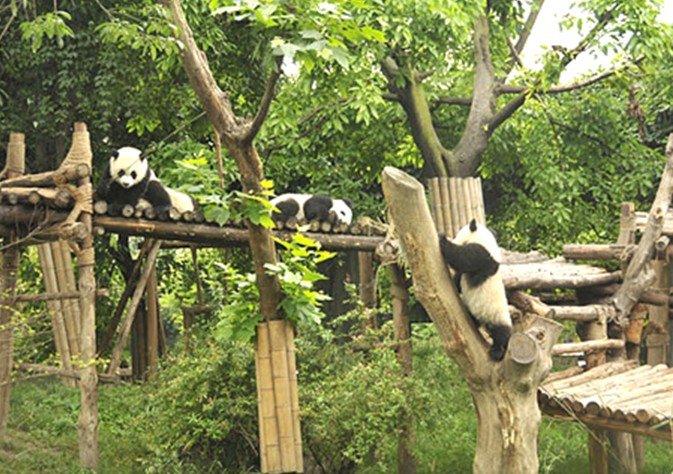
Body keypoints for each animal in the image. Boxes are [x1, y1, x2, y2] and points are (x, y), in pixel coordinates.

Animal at [438, 219, 511, 361]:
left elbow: (461, 258)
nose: (453, 238)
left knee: (501, 333)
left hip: (497, 315)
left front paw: (442, 237)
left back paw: (498, 351)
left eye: (458, 233)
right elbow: (459, 278)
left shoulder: (481, 255)